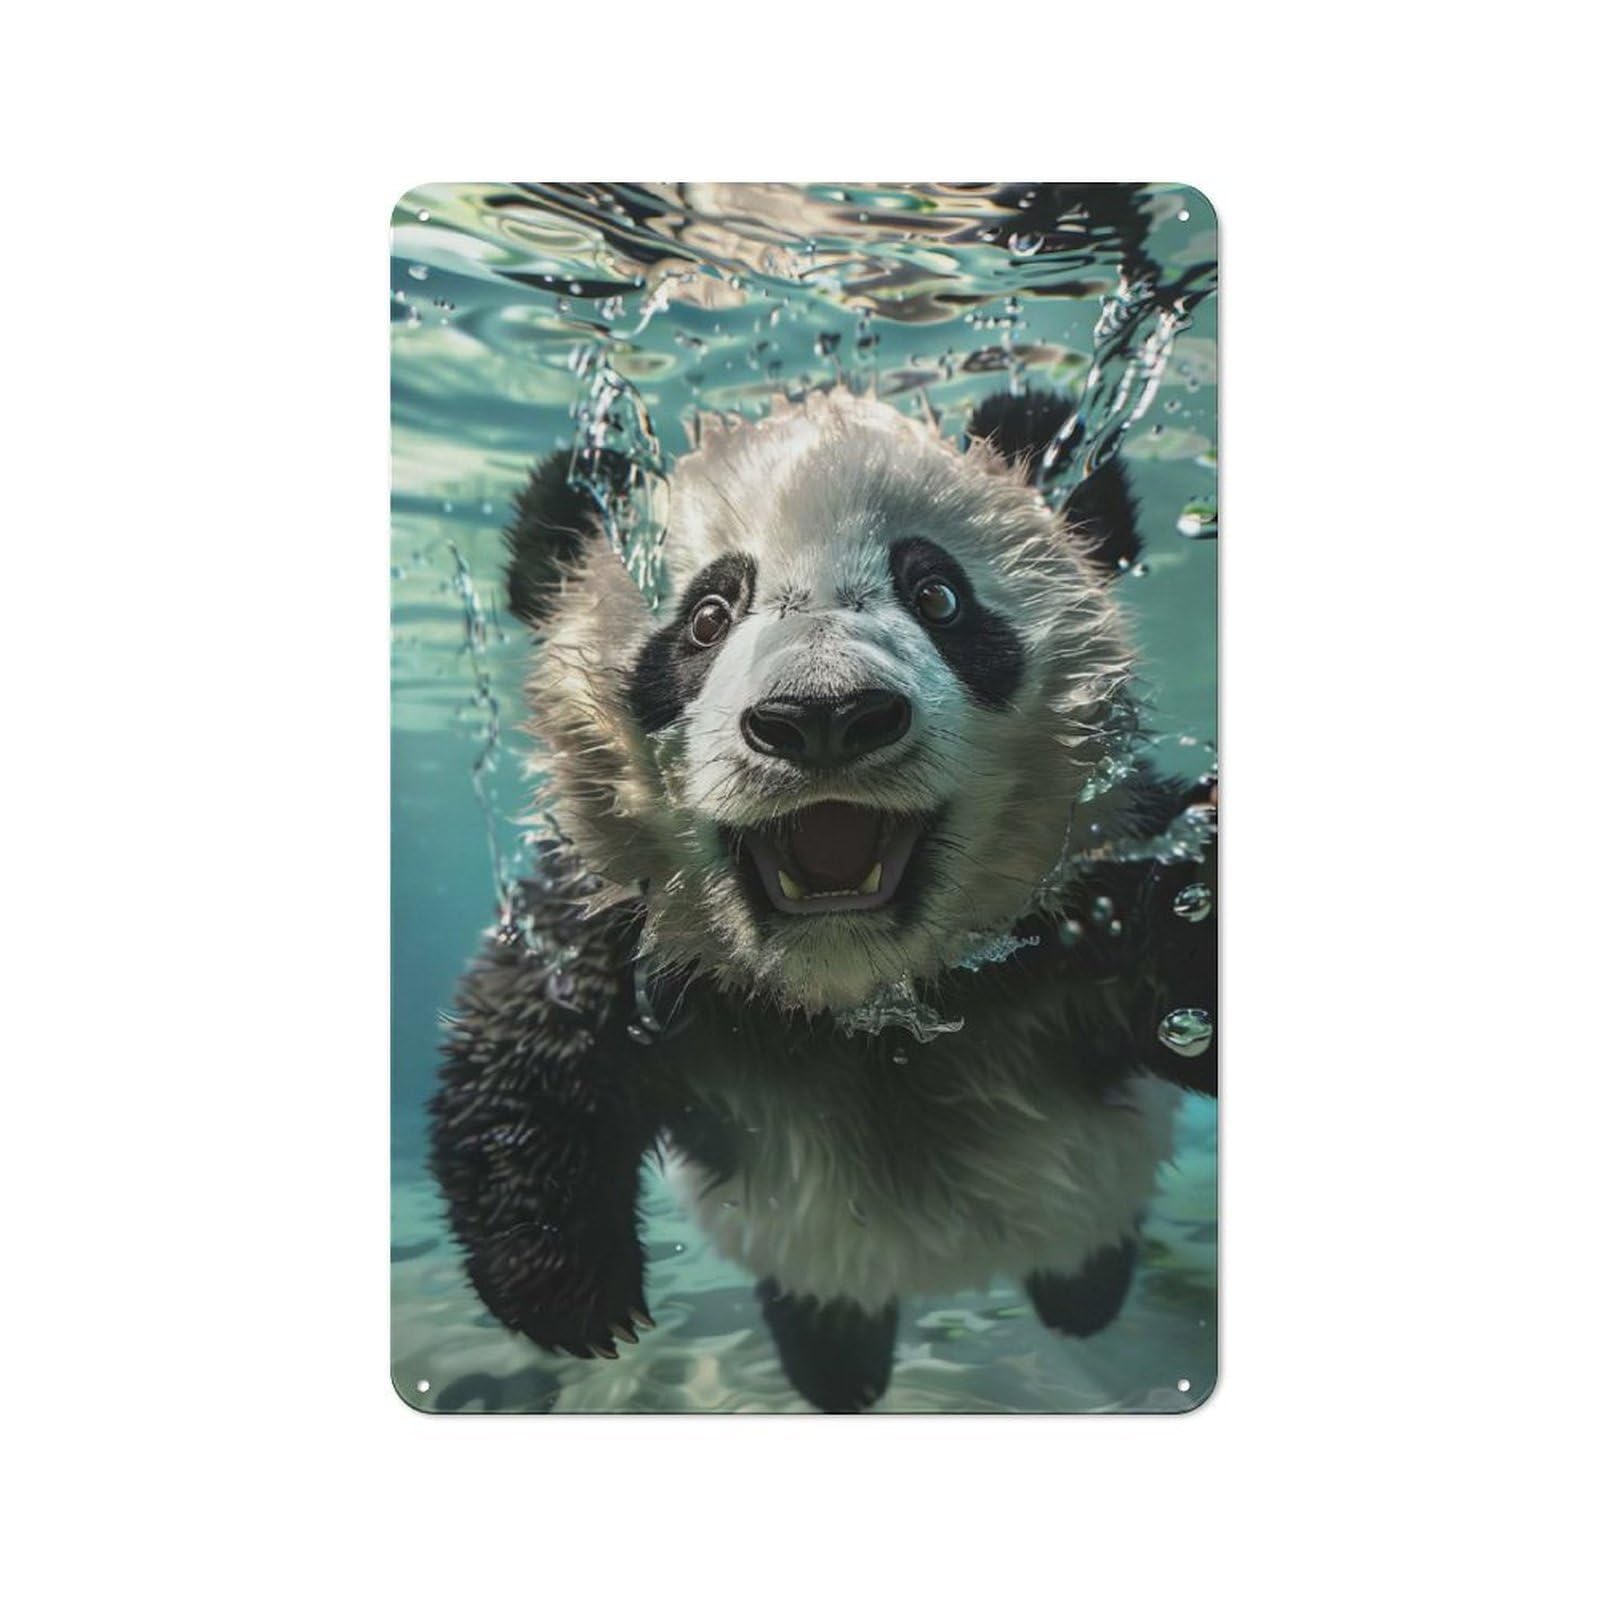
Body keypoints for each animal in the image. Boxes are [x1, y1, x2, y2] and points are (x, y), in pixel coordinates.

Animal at [429, 384, 1217, 1413]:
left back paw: (1079, 1300)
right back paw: (839, 1369)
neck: (859, 1000)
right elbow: (524, 1047)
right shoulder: (625, 931)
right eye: (707, 615)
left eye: (938, 595)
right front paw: (571, 1296)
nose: (823, 716)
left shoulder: (1094, 887)